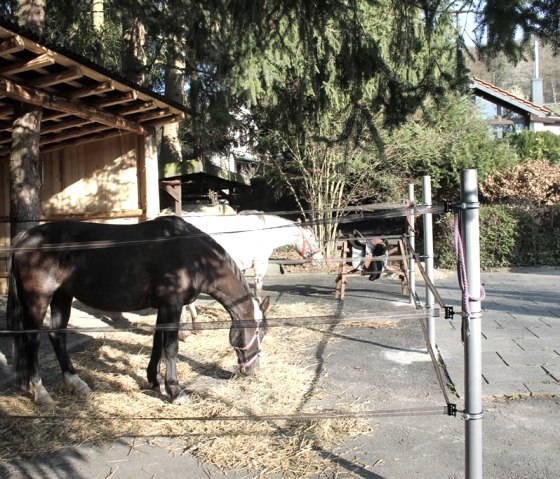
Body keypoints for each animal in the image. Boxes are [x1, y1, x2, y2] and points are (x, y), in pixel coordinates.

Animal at [6, 216, 270, 406]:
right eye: (260, 333)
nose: (253, 370)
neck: (192, 255)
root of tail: (24, 237)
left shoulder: (164, 307)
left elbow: (157, 343)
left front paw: (154, 381)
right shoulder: (172, 306)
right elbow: (171, 347)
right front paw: (175, 391)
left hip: (63, 296)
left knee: (57, 335)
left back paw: (75, 383)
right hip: (39, 299)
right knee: (32, 341)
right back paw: (40, 391)